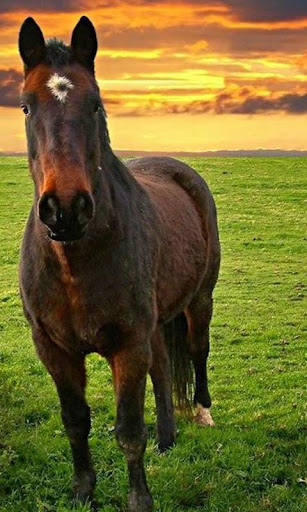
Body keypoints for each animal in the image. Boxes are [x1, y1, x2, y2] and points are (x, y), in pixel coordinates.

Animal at [18, 16, 221, 512]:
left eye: (95, 104)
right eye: (26, 107)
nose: (65, 208)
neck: (75, 263)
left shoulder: (128, 344)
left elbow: (128, 430)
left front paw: (139, 499)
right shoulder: (52, 348)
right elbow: (75, 421)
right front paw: (82, 490)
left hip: (200, 301)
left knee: (197, 351)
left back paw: (201, 413)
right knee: (164, 365)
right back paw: (167, 437)